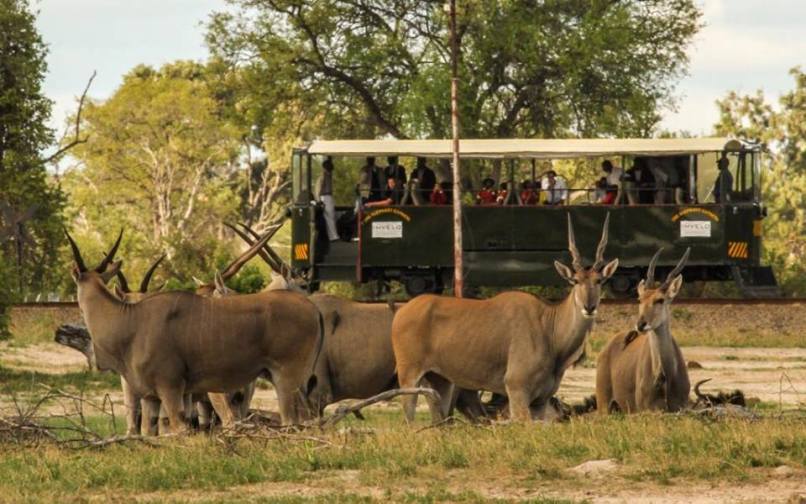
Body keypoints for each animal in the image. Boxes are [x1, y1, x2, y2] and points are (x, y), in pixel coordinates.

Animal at [66, 230, 324, 432]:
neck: (131, 319)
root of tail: (313, 309)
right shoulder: (152, 397)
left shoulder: (171, 389)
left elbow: (179, 430)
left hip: (284, 380)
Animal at [392, 213, 620, 422]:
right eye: (575, 280)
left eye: (600, 280)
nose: (589, 307)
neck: (549, 328)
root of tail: (402, 311)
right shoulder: (517, 390)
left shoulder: (540, 401)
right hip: (409, 376)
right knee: (409, 419)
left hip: (440, 381)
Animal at [592, 247, 696, 414]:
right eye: (640, 299)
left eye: (660, 300)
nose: (641, 324)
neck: (664, 375)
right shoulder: (647, 410)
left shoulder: (680, 407)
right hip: (604, 405)